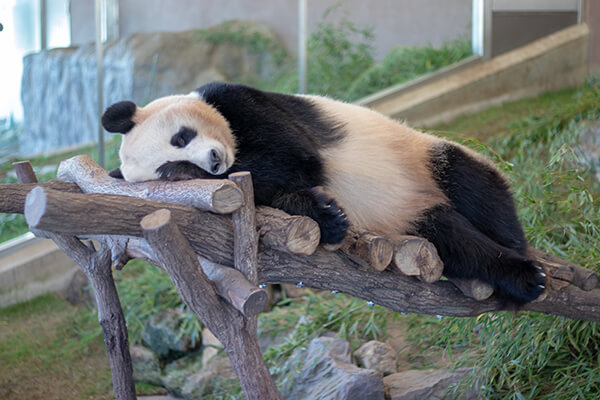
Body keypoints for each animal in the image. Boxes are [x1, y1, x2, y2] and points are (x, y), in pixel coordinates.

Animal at [102, 81, 544, 306]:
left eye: (181, 137)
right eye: (168, 169)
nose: (211, 162)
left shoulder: (240, 100)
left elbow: (294, 155)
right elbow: (275, 189)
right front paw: (329, 217)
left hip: (421, 157)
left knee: (473, 182)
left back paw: (518, 255)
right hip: (416, 223)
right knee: (456, 244)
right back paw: (512, 278)